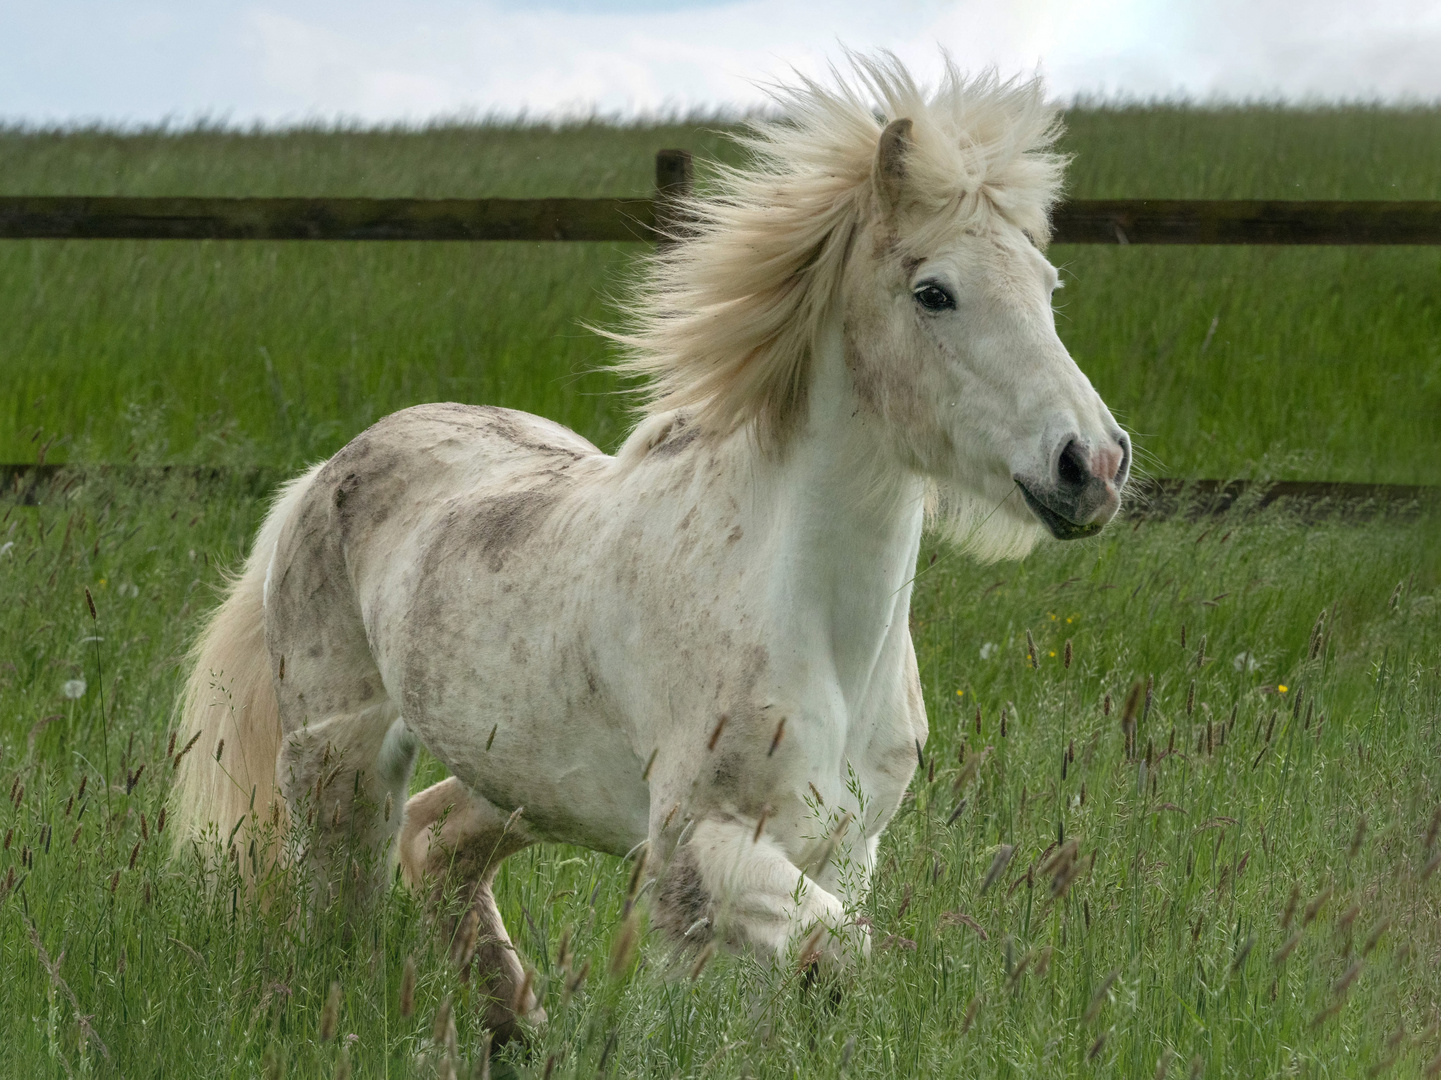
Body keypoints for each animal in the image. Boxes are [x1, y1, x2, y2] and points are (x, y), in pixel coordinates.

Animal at [174, 54, 1129, 1038]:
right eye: (932, 291)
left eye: (1046, 286)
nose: (1090, 465)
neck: (813, 627)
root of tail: (323, 472)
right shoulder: (694, 844)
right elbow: (832, 955)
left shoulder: (845, 848)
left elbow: (814, 974)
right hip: (338, 762)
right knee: (339, 910)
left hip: (523, 779)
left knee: (435, 840)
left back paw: (517, 1025)